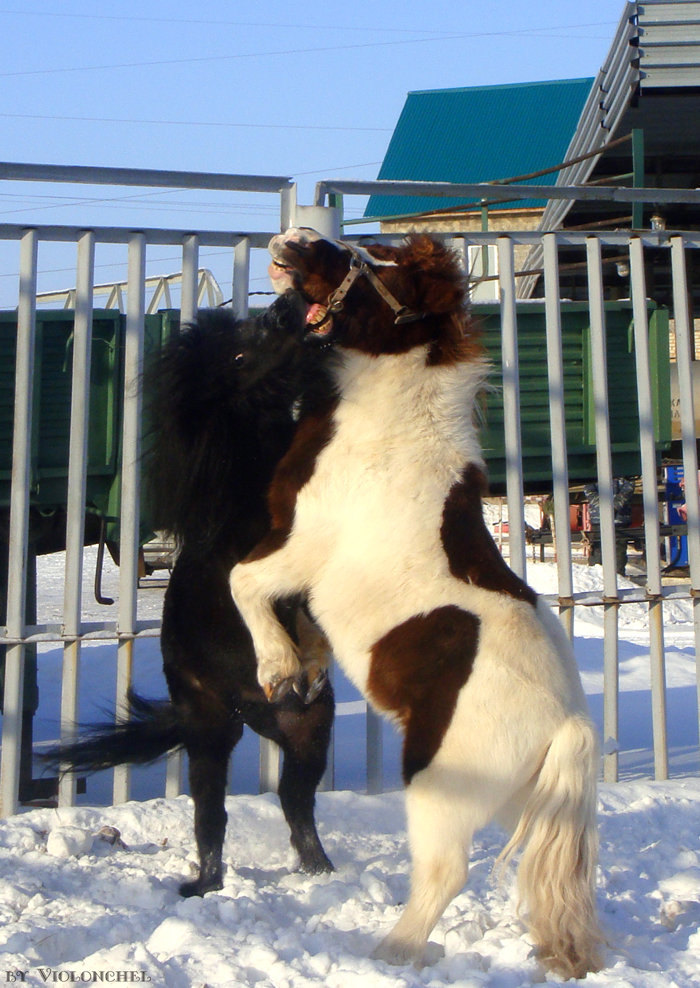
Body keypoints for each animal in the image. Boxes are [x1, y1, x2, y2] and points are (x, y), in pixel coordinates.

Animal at [45, 292, 334, 896]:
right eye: (241, 354)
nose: (289, 303)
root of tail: (254, 712)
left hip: (309, 734)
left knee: (296, 803)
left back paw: (322, 871)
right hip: (210, 735)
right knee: (211, 815)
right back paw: (203, 885)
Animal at [232, 232, 604, 980]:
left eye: (385, 267)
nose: (295, 241)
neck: (389, 430)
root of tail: (568, 723)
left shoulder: (301, 547)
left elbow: (244, 584)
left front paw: (278, 671)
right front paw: (304, 672)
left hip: (440, 784)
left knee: (444, 873)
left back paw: (390, 952)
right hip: (516, 796)